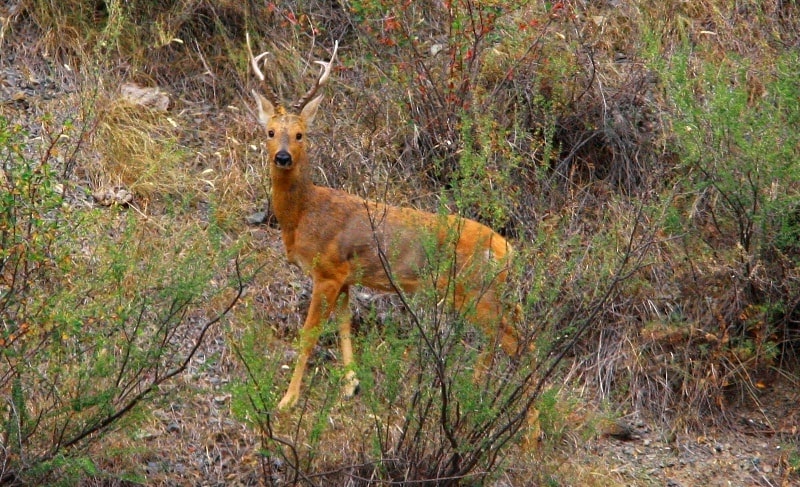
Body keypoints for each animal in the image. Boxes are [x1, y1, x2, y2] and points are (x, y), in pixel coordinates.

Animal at [250, 36, 524, 414]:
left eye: (301, 134)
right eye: (271, 132)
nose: (283, 157)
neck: (304, 214)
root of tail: (507, 250)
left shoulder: (328, 270)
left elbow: (309, 336)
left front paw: (287, 400)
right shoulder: (345, 275)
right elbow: (345, 325)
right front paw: (351, 384)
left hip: (475, 291)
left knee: (514, 342)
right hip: (488, 295)